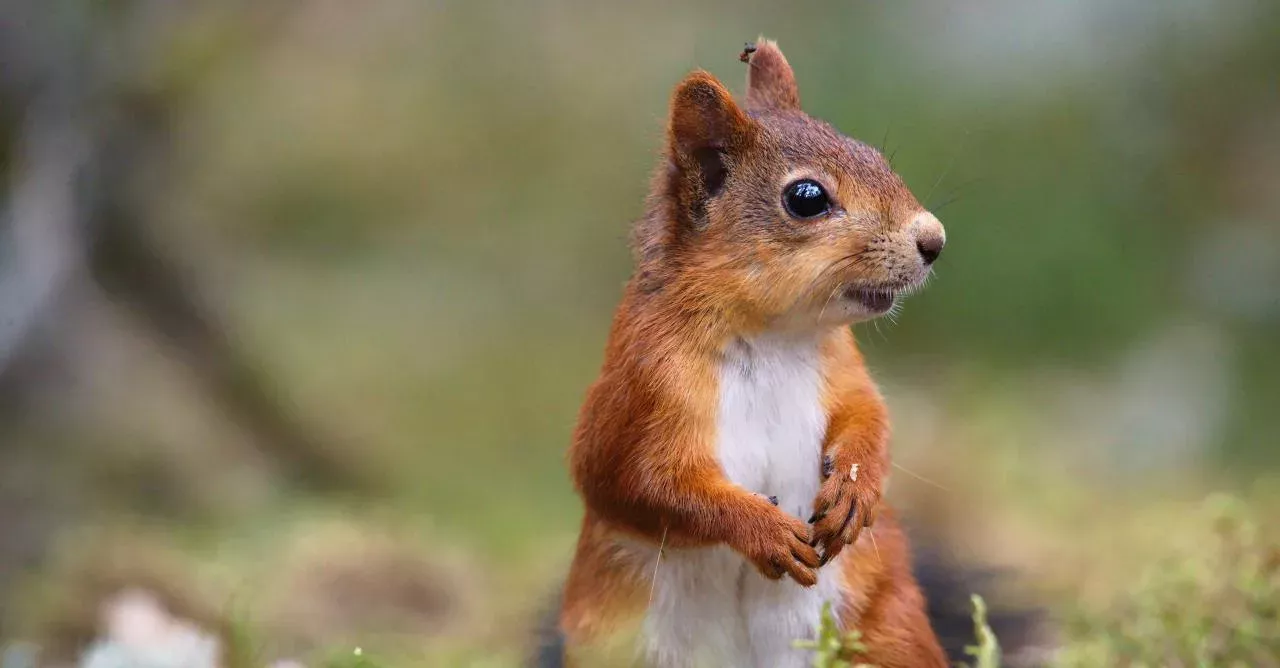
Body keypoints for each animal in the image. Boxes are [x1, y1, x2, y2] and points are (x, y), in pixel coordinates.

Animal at [553, 38, 950, 668]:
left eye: (873, 153)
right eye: (806, 198)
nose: (933, 240)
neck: (770, 337)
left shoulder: (843, 368)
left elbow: (870, 417)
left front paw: (856, 488)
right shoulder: (640, 387)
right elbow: (641, 482)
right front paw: (761, 528)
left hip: (887, 631)